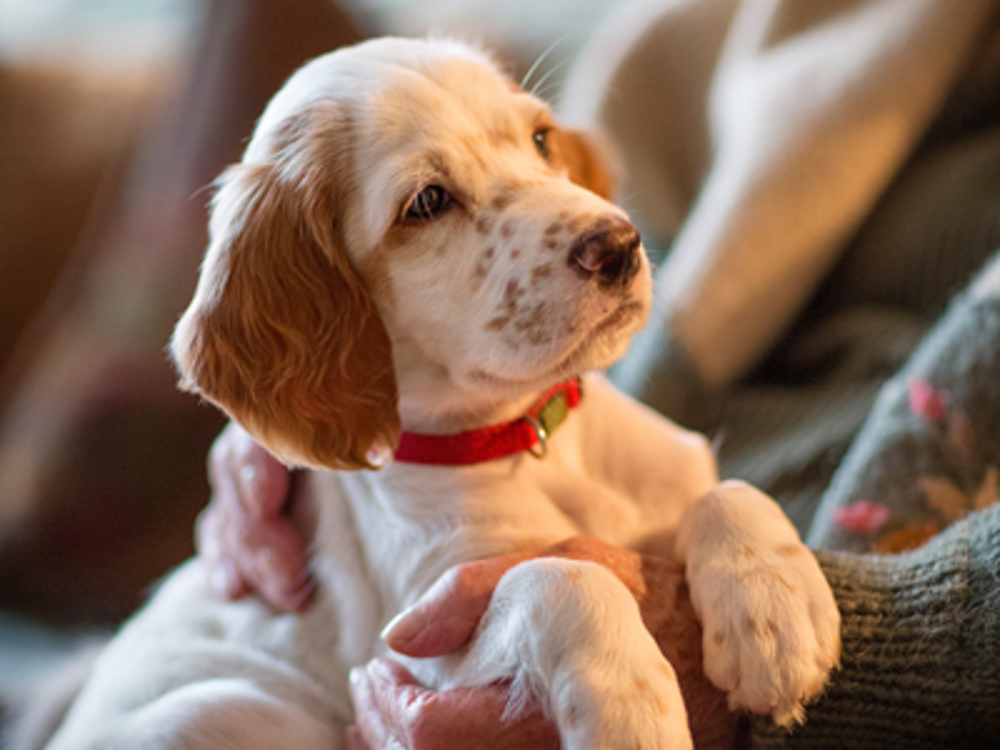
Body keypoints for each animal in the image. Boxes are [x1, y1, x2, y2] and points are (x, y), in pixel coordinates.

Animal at [45, 36, 836, 750]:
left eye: (541, 139)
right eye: (427, 202)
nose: (619, 244)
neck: (531, 441)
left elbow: (726, 491)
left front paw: (775, 615)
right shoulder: (417, 641)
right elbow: (556, 574)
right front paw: (633, 712)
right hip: (222, 710)